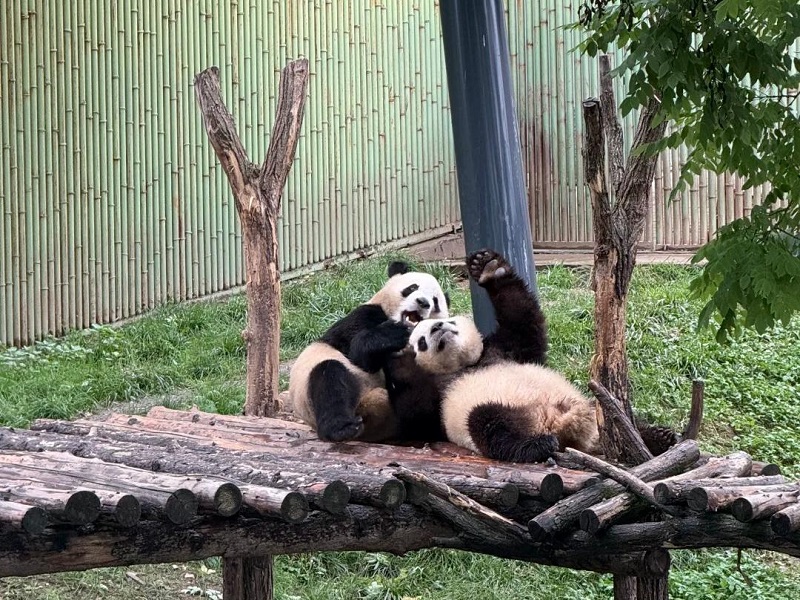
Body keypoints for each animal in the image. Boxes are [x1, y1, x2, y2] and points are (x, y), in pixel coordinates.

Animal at [289, 259, 449, 443]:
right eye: (412, 287)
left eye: (435, 301)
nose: (423, 302)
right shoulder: (365, 314)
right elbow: (358, 356)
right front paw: (392, 334)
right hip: (311, 392)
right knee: (330, 378)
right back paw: (342, 429)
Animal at [384, 248, 677, 462]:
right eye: (421, 341)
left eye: (448, 321)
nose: (437, 329)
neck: (464, 365)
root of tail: (563, 424)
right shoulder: (439, 397)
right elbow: (417, 415)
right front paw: (398, 355)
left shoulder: (505, 350)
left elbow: (523, 321)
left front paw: (489, 267)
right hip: (492, 412)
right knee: (489, 425)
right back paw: (538, 445)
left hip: (594, 409)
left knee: (617, 418)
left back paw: (658, 436)